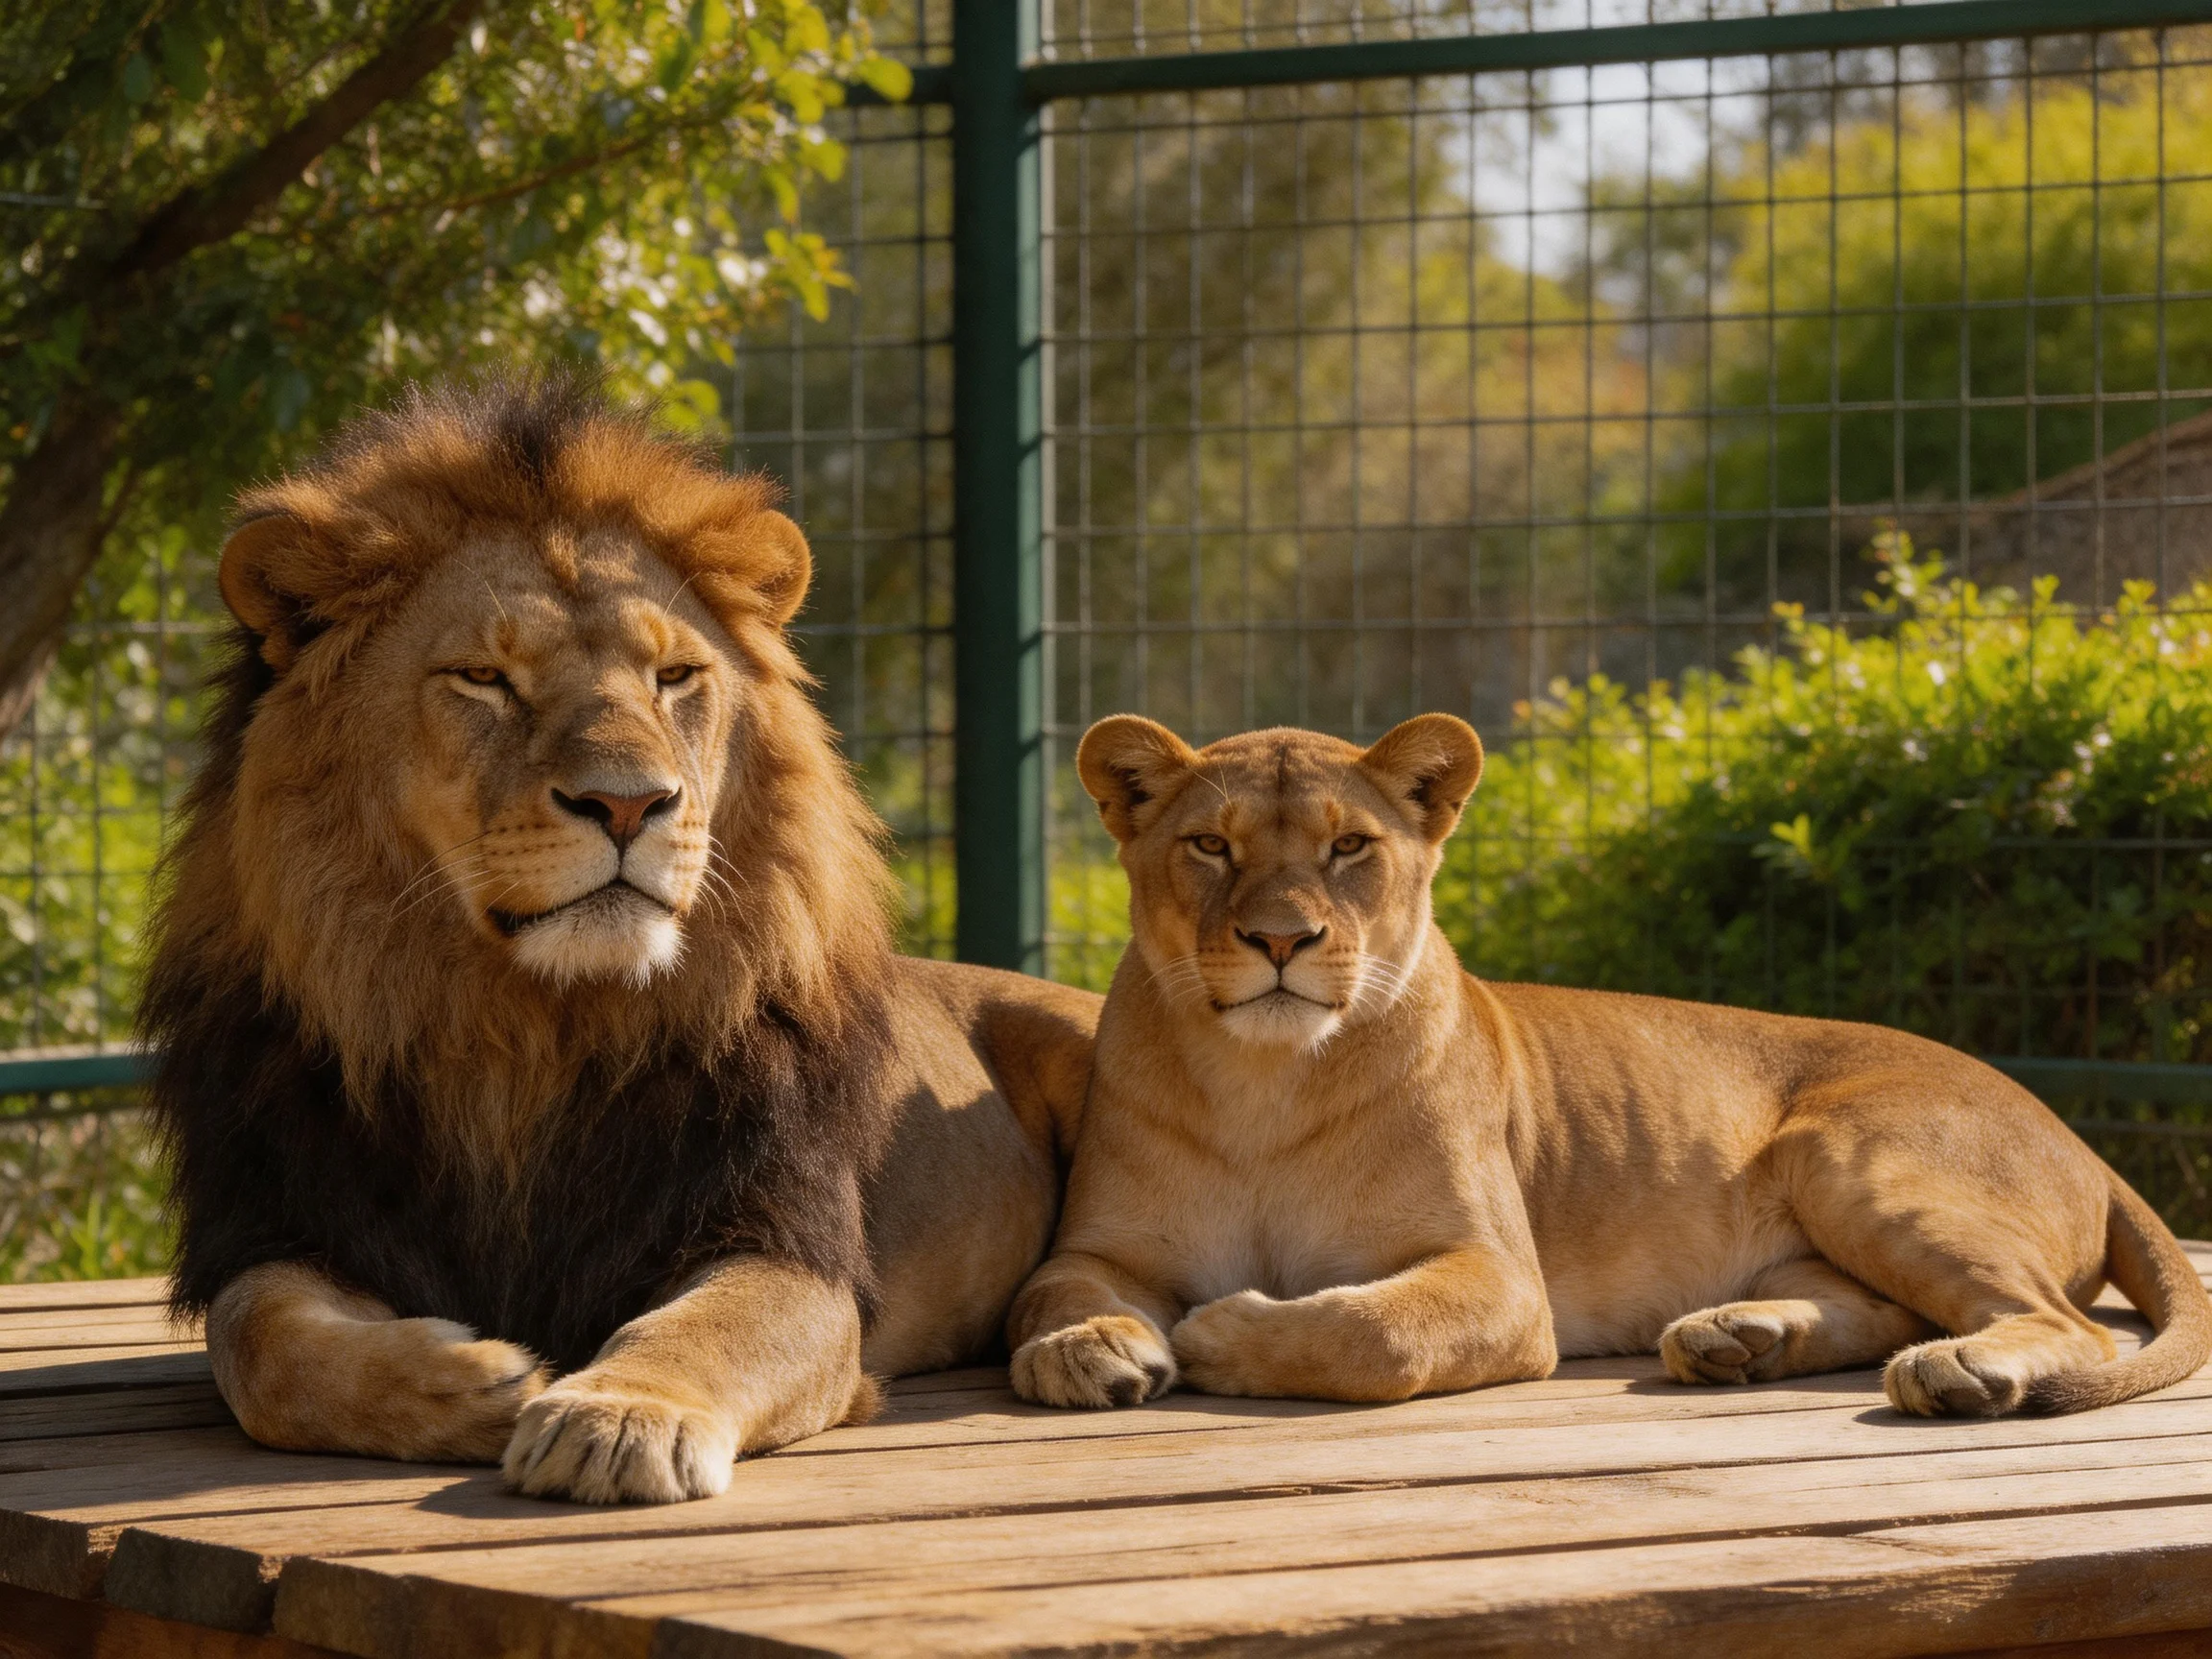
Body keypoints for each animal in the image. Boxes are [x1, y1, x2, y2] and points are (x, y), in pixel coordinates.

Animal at [141, 373, 1097, 1504]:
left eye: (674, 676)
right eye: (483, 678)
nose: (631, 802)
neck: (522, 1034)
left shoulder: (787, 1246)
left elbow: (703, 1330)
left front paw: (616, 1413)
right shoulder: (281, 1223)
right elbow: (259, 1343)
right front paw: (472, 1380)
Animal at [1007, 713, 2211, 1417]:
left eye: (1350, 847)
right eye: (1210, 846)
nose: (1280, 941)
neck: (1268, 1082)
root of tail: (2078, 1136)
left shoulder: (1500, 1275)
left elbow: (1372, 1330)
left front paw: (1219, 1333)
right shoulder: (1106, 1242)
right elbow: (1049, 1290)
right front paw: (1085, 1349)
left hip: (1850, 1154)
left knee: (2057, 1324)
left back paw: (1959, 1374)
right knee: (1894, 1310)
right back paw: (1740, 1338)